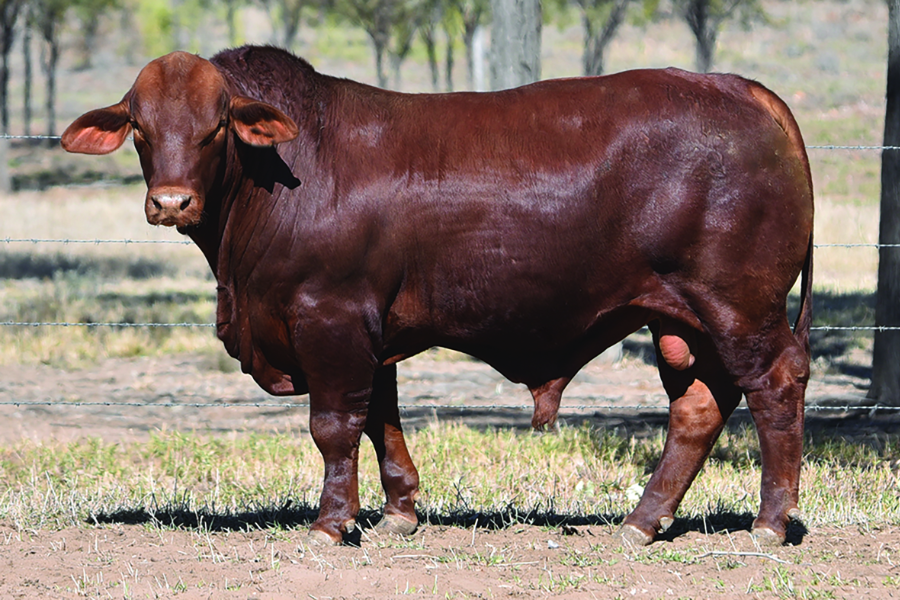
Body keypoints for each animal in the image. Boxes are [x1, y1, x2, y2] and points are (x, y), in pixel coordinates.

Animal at [61, 45, 814, 547]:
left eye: (216, 125)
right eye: (140, 127)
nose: (171, 202)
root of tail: (739, 87)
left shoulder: (329, 318)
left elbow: (334, 425)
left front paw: (332, 523)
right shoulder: (368, 331)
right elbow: (380, 419)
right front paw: (399, 513)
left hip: (739, 307)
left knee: (776, 384)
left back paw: (770, 523)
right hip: (680, 321)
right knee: (698, 406)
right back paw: (641, 522)